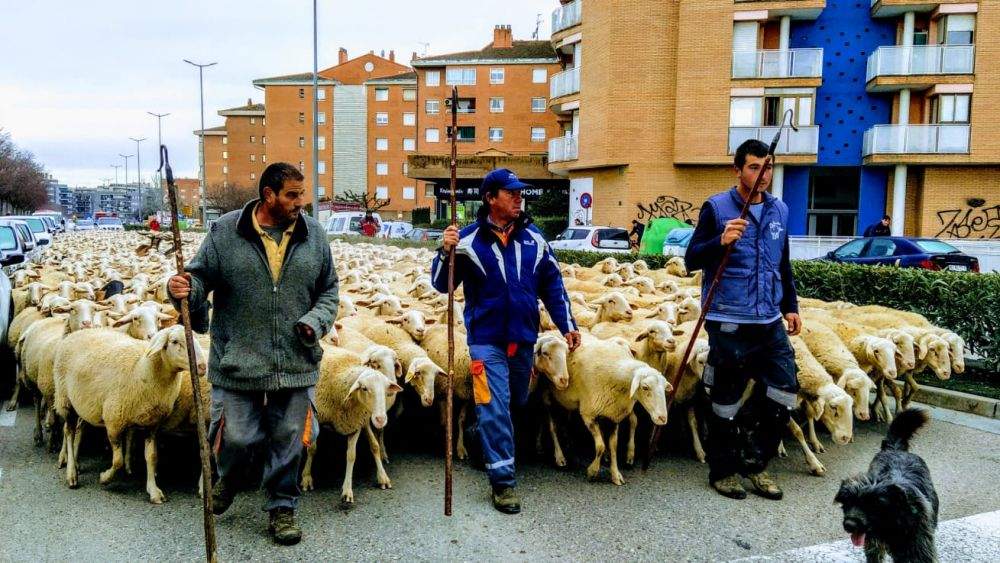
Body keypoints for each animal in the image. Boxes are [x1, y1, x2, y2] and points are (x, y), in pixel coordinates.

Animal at [52, 325, 207, 503]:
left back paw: (76, 464)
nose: (202, 366)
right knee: (68, 432)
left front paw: (153, 490)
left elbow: (151, 456)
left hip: (85, 405)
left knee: (78, 429)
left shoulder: (152, 424)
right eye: (175, 341)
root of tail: (77, 332)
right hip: (65, 399)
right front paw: (105, 478)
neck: (142, 369)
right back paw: (71, 473)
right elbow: (118, 461)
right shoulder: (113, 422)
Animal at [301, 346, 401, 505]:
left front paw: (347, 491)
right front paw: (306, 478)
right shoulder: (316, 416)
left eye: (386, 389)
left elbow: (351, 455)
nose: (380, 419)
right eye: (364, 388)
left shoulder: (354, 423)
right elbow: (312, 449)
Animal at [546, 334, 671, 485]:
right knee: (552, 427)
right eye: (645, 387)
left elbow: (613, 446)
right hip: (548, 396)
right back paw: (560, 457)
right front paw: (592, 472)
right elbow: (600, 446)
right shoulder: (588, 414)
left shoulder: (613, 415)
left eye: (664, 388)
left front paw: (616, 475)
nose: (662, 418)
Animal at [835, 408, 939, 562]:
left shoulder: (920, 549)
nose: (849, 525)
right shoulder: (873, 544)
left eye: (873, 504)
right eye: (847, 502)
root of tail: (895, 449)